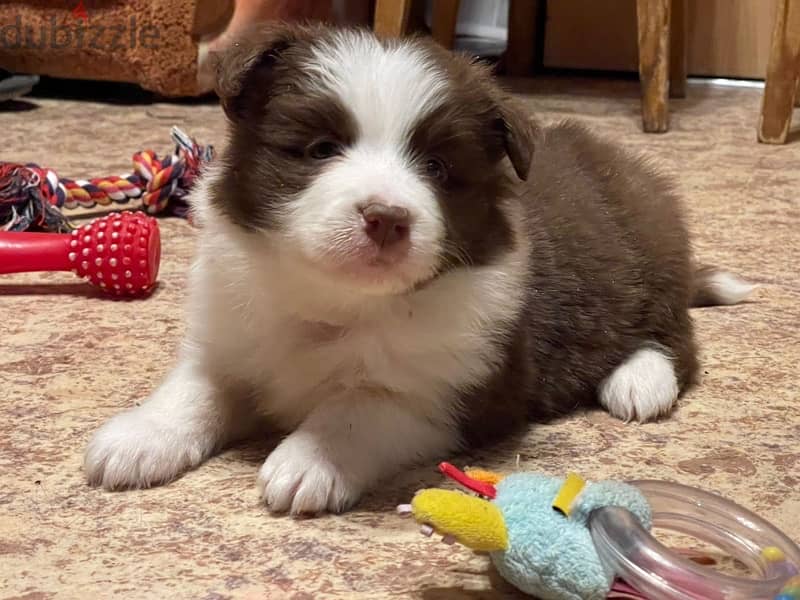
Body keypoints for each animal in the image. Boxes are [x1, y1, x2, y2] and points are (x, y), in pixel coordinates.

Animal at [84, 24, 752, 516]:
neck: (337, 303)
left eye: (436, 166)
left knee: (675, 337)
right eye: (322, 149)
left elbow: (360, 406)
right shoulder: (231, 342)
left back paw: (639, 381)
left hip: (652, 254)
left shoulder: (452, 394)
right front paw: (139, 438)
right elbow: (194, 391)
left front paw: (309, 460)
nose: (386, 218)